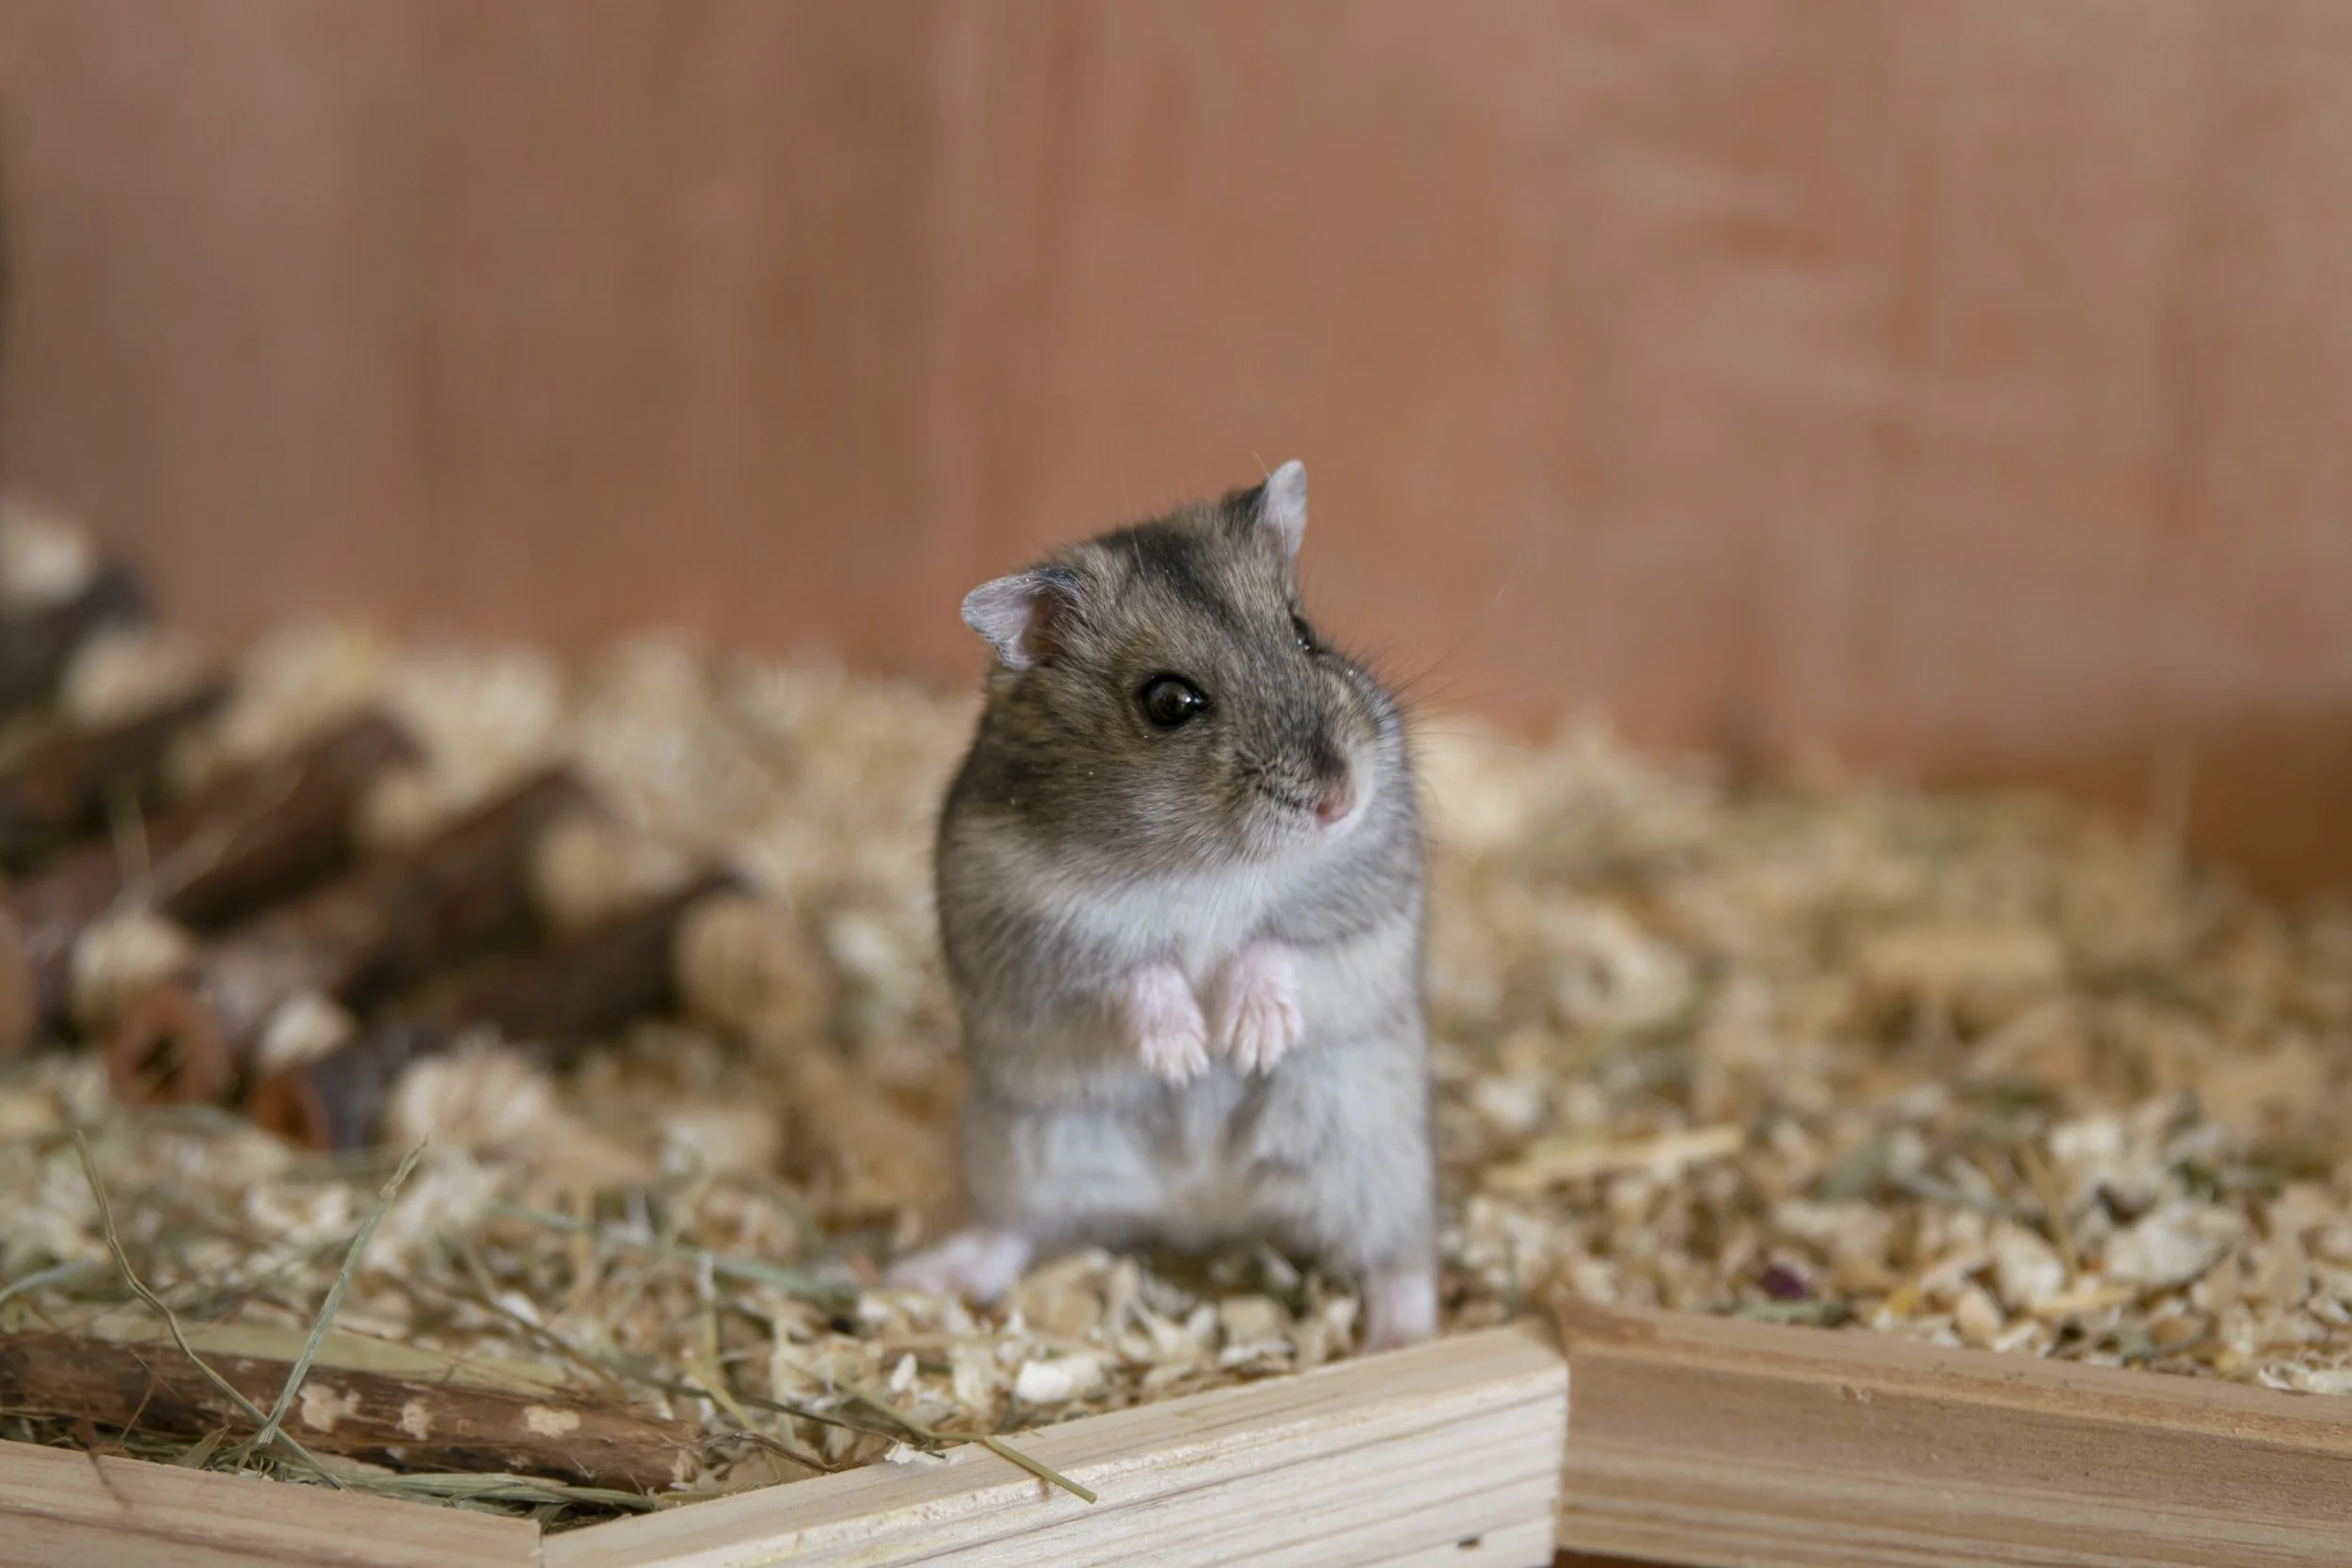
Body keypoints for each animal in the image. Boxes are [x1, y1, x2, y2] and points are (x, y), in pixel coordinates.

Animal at [887, 460, 1438, 1352]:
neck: (1207, 861)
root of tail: (1203, 1210)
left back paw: (1402, 1340)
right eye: (1169, 702)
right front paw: (1185, 1055)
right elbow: (1133, 969)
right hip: (1022, 1151)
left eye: (1304, 632)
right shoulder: (1031, 929)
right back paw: (919, 1275)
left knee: (1401, 1257)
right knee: (1009, 1230)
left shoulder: (1365, 896)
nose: (1339, 800)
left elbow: (1277, 944)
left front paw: (1248, 1041)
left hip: (1377, 1155)